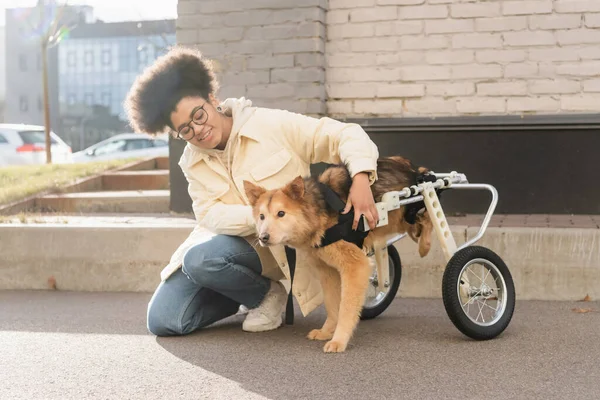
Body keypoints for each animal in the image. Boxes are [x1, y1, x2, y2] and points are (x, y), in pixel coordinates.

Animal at [244, 156, 432, 354]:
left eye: (281, 213)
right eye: (261, 216)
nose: (263, 237)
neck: (317, 212)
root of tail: (412, 167)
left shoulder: (355, 266)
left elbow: (346, 308)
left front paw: (339, 340)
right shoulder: (327, 270)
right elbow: (332, 305)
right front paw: (326, 332)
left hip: (405, 211)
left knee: (426, 217)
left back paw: (425, 245)